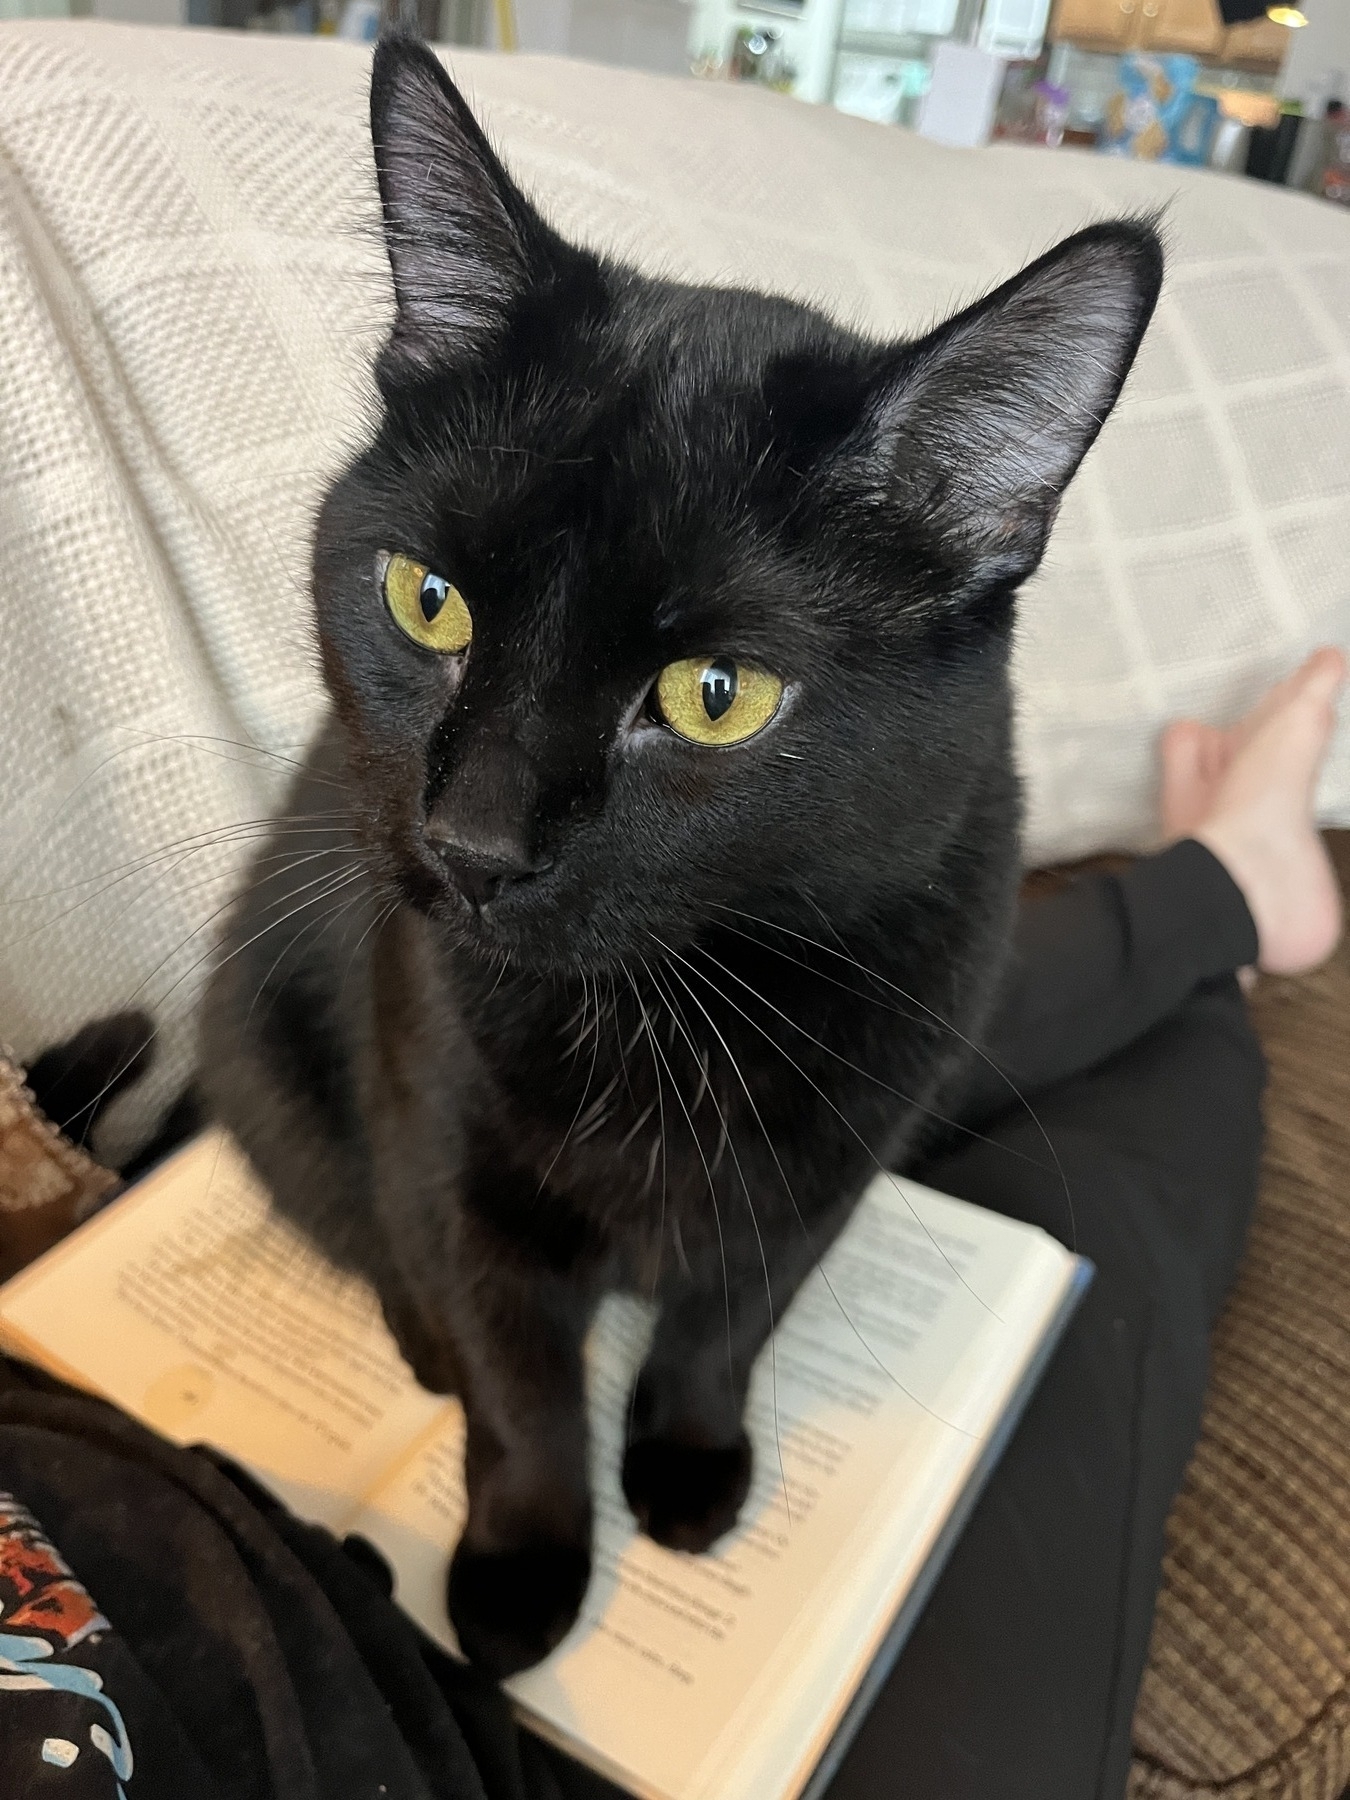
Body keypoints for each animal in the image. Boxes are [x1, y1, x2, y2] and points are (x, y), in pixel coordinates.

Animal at [198, 35, 1166, 1677]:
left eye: (717, 696)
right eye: (427, 598)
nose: (471, 843)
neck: (669, 1016)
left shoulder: (834, 1165)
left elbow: (729, 1326)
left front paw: (691, 1465)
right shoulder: (451, 1152)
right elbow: (522, 1394)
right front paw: (519, 1573)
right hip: (269, 1038)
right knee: (358, 1224)